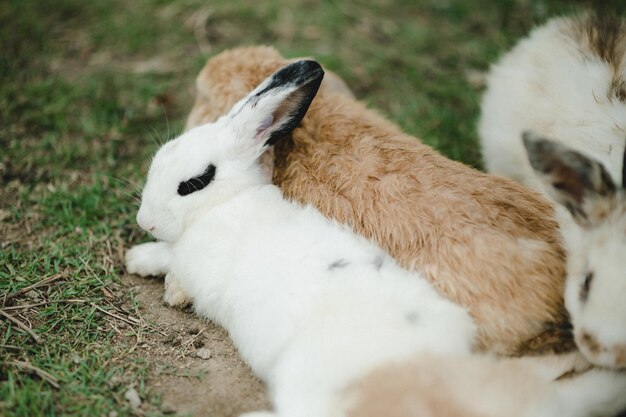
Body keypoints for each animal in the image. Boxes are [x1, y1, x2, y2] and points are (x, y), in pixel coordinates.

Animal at [128, 61, 478, 416]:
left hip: (306, 374)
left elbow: (165, 255)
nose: (145, 221)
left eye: (195, 183)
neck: (223, 203)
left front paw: (135, 259)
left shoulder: (190, 260)